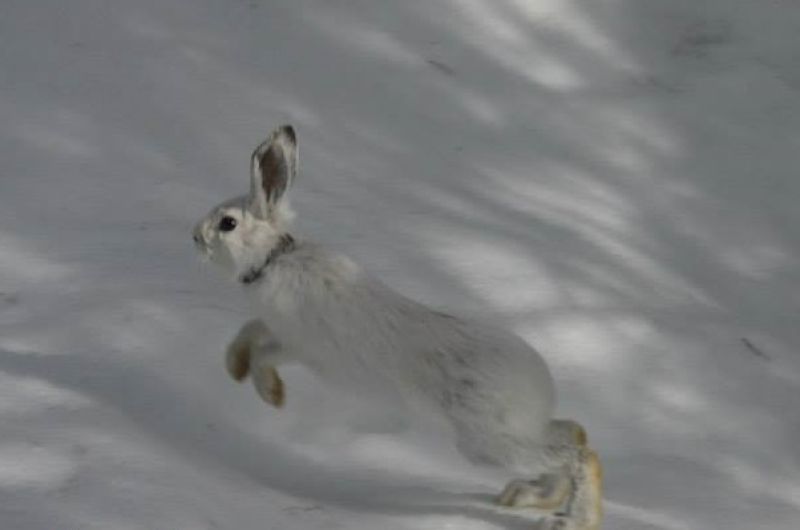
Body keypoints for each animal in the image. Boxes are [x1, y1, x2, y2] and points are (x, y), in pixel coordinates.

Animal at [193, 125, 603, 530]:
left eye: (227, 223)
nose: (195, 236)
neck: (273, 259)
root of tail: (540, 384)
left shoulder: (299, 344)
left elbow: (265, 355)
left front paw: (273, 395)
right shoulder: (272, 326)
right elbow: (248, 331)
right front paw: (234, 367)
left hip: (487, 440)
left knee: (578, 453)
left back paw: (575, 520)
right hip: (507, 434)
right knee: (573, 431)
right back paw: (529, 496)